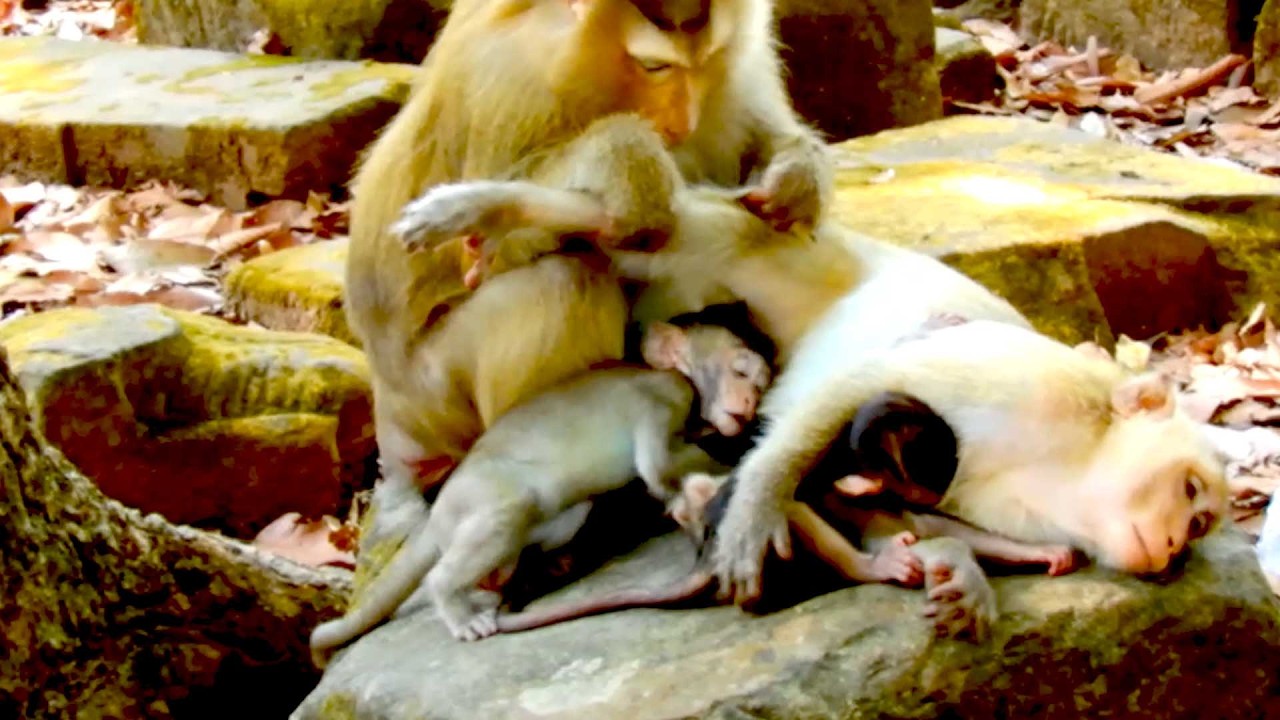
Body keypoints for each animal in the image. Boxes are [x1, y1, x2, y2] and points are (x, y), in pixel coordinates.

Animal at [309, 322, 771, 661]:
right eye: (741, 371)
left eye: (761, 384)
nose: (752, 399)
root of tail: (437, 513)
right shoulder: (662, 397)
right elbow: (656, 465)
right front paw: (722, 475)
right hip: (485, 493)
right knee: (502, 518)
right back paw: (457, 605)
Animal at [345, 0, 832, 580]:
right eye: (655, 67)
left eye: (706, 58)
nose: (681, 121)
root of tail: (390, 410)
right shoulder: (508, 80)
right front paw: (622, 162)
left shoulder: (742, 56)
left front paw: (795, 177)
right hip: (435, 394)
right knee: (564, 281)